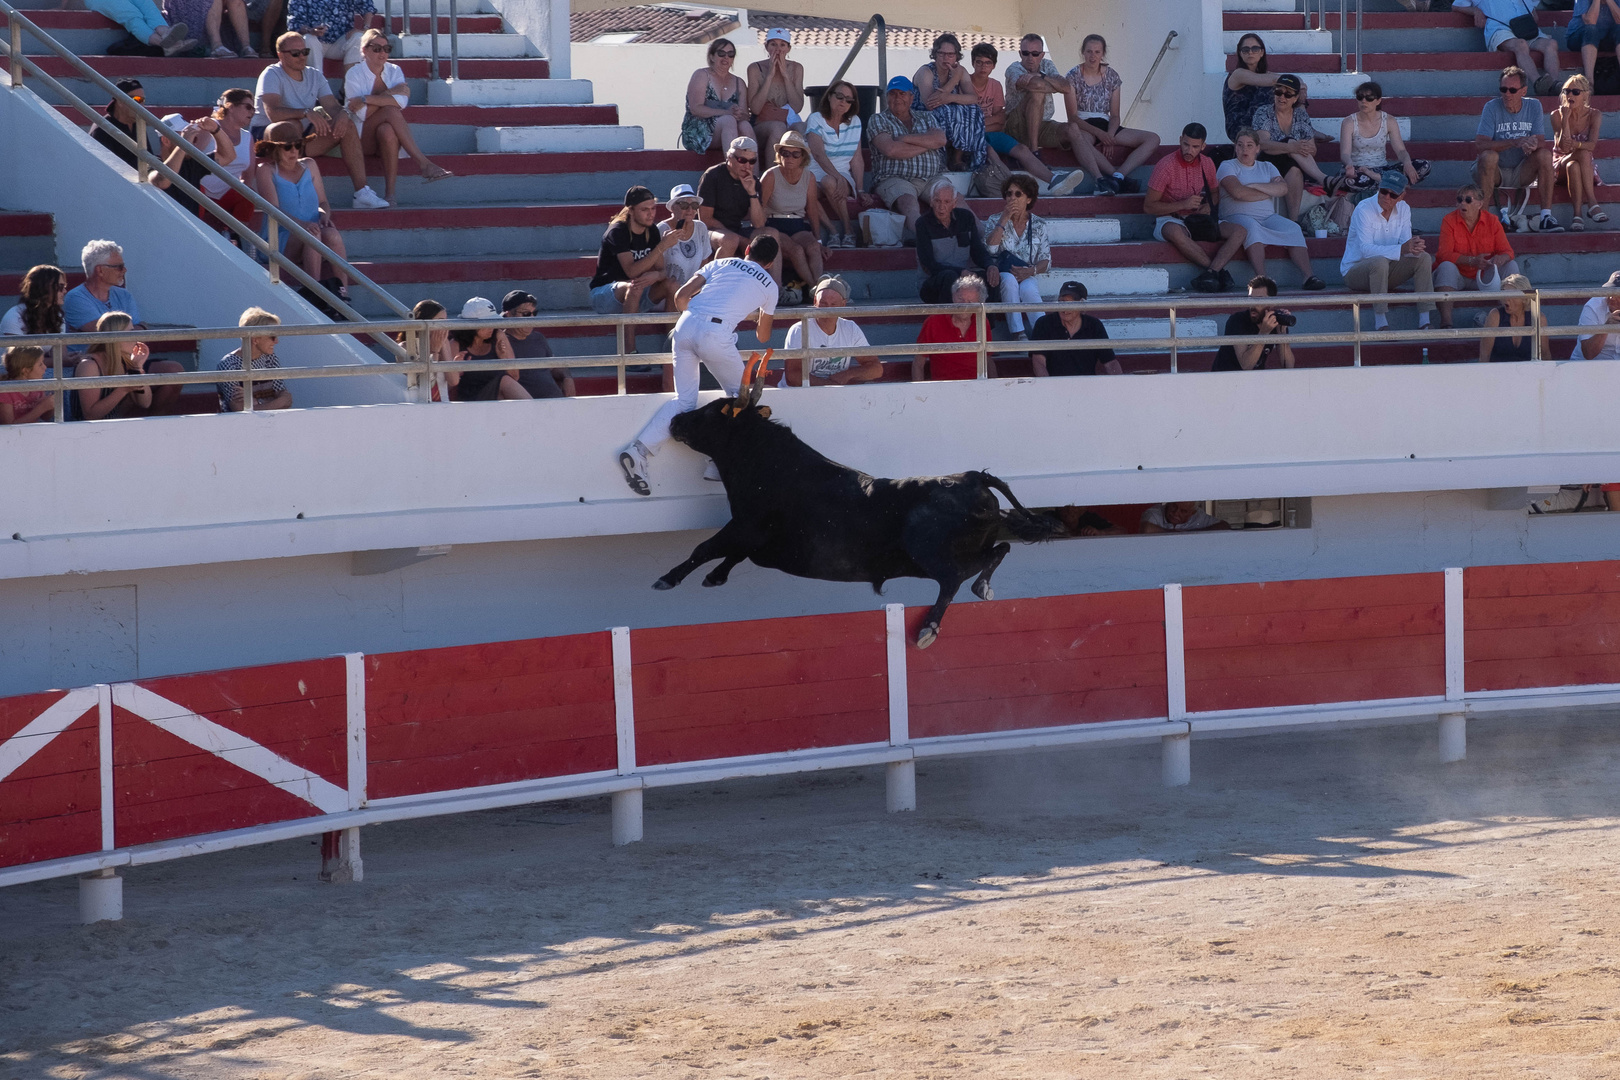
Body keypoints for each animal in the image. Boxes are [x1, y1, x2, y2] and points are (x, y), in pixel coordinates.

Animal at [651, 396, 1069, 650]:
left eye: (710, 412)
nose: (675, 419)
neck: (764, 459)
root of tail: (972, 478)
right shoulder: (754, 538)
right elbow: (731, 554)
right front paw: (714, 577)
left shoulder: (746, 524)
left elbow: (706, 546)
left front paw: (667, 579)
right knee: (1000, 548)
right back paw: (983, 589)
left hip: (928, 554)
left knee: (954, 577)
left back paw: (929, 628)